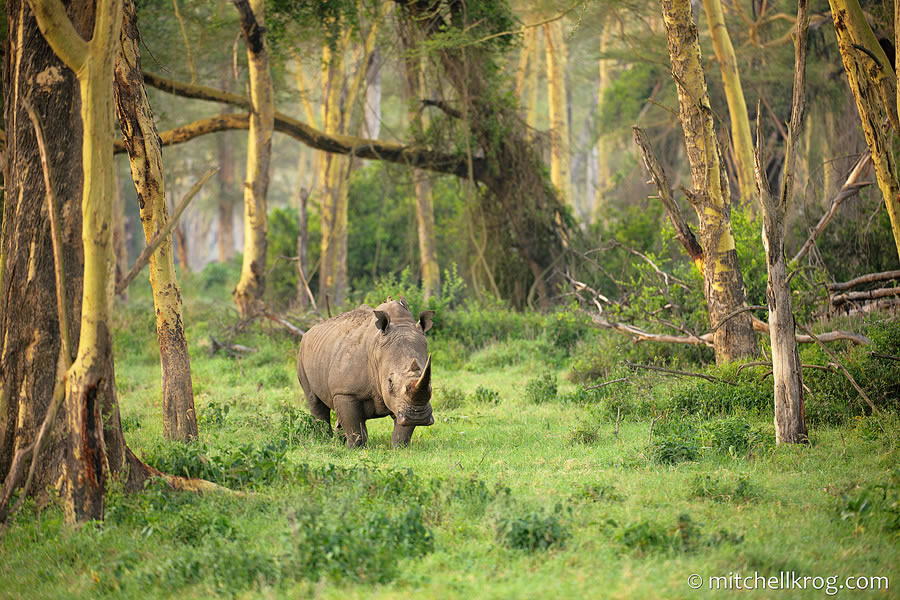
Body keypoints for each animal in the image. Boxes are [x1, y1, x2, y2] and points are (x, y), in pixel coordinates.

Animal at [296, 298, 436, 448]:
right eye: (390, 382)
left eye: (430, 384)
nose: (418, 416)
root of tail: (308, 331)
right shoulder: (345, 392)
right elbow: (355, 427)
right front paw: (355, 448)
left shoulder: (403, 405)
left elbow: (403, 428)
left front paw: (399, 447)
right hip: (302, 353)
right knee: (314, 401)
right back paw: (323, 440)